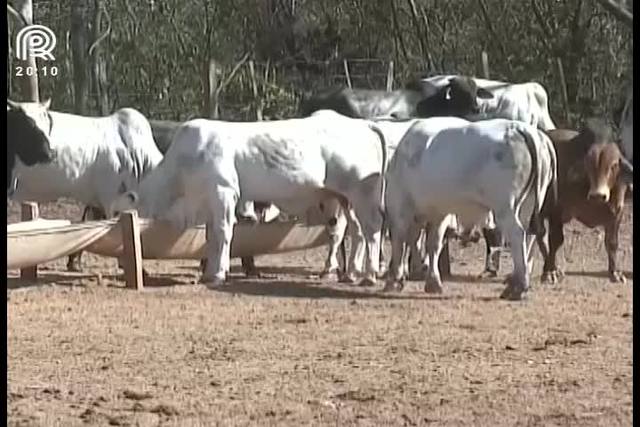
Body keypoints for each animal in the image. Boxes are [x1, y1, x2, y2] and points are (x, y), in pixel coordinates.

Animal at [109, 110, 388, 288]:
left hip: (362, 194)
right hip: (344, 199)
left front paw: (218, 274)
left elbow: (223, 234)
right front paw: (209, 270)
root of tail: (363, 124)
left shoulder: (223, 193)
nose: (120, 258)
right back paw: (351, 273)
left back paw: (370, 274)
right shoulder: (210, 203)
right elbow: (210, 237)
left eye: (118, 215)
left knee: (372, 230)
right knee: (356, 232)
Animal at [384, 118, 556, 302]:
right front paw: (432, 281)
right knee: (528, 237)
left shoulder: (400, 207)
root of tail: (519, 127)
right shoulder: (439, 213)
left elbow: (400, 242)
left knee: (517, 235)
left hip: (505, 207)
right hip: (528, 204)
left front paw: (394, 280)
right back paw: (515, 282)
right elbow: (433, 244)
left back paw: (519, 287)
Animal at [536, 120, 632, 286]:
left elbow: (612, 243)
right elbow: (556, 241)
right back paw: (551, 268)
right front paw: (549, 273)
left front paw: (615, 273)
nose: (598, 195)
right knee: (541, 236)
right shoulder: (556, 211)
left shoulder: (617, 213)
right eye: (588, 164)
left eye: (613, 165)